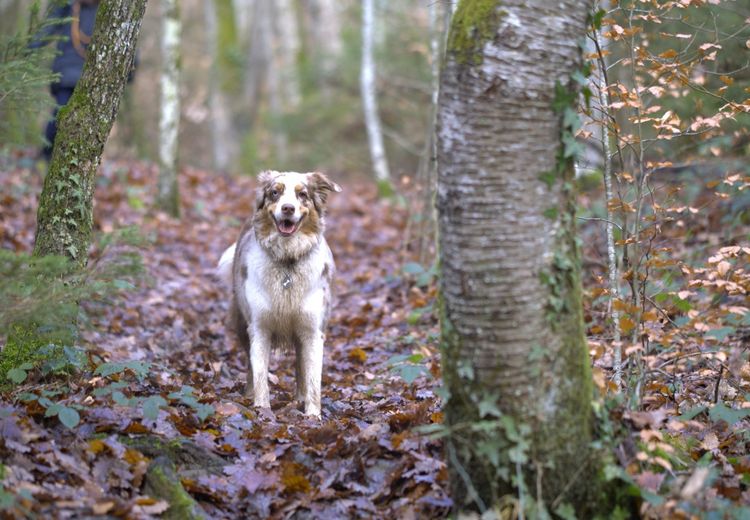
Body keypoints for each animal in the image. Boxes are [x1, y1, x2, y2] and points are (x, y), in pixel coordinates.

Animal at [217, 173, 344, 416]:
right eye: (275, 192)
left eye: (302, 194)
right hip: (241, 322)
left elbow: (313, 379)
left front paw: (313, 415)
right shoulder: (259, 326)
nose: (287, 208)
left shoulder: (313, 330)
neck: (287, 260)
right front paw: (262, 409)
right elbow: (259, 373)